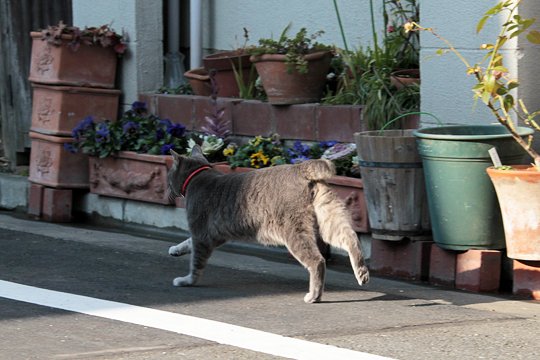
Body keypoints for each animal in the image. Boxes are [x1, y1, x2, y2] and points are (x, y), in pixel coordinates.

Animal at [167, 146, 370, 304]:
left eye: (169, 175)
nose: (168, 187)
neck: (198, 175)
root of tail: (300, 167)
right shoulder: (212, 235)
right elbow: (187, 242)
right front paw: (176, 249)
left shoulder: (201, 235)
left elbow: (196, 263)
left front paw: (187, 281)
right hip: (328, 217)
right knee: (350, 238)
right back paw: (362, 273)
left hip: (294, 231)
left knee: (317, 261)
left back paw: (314, 296)